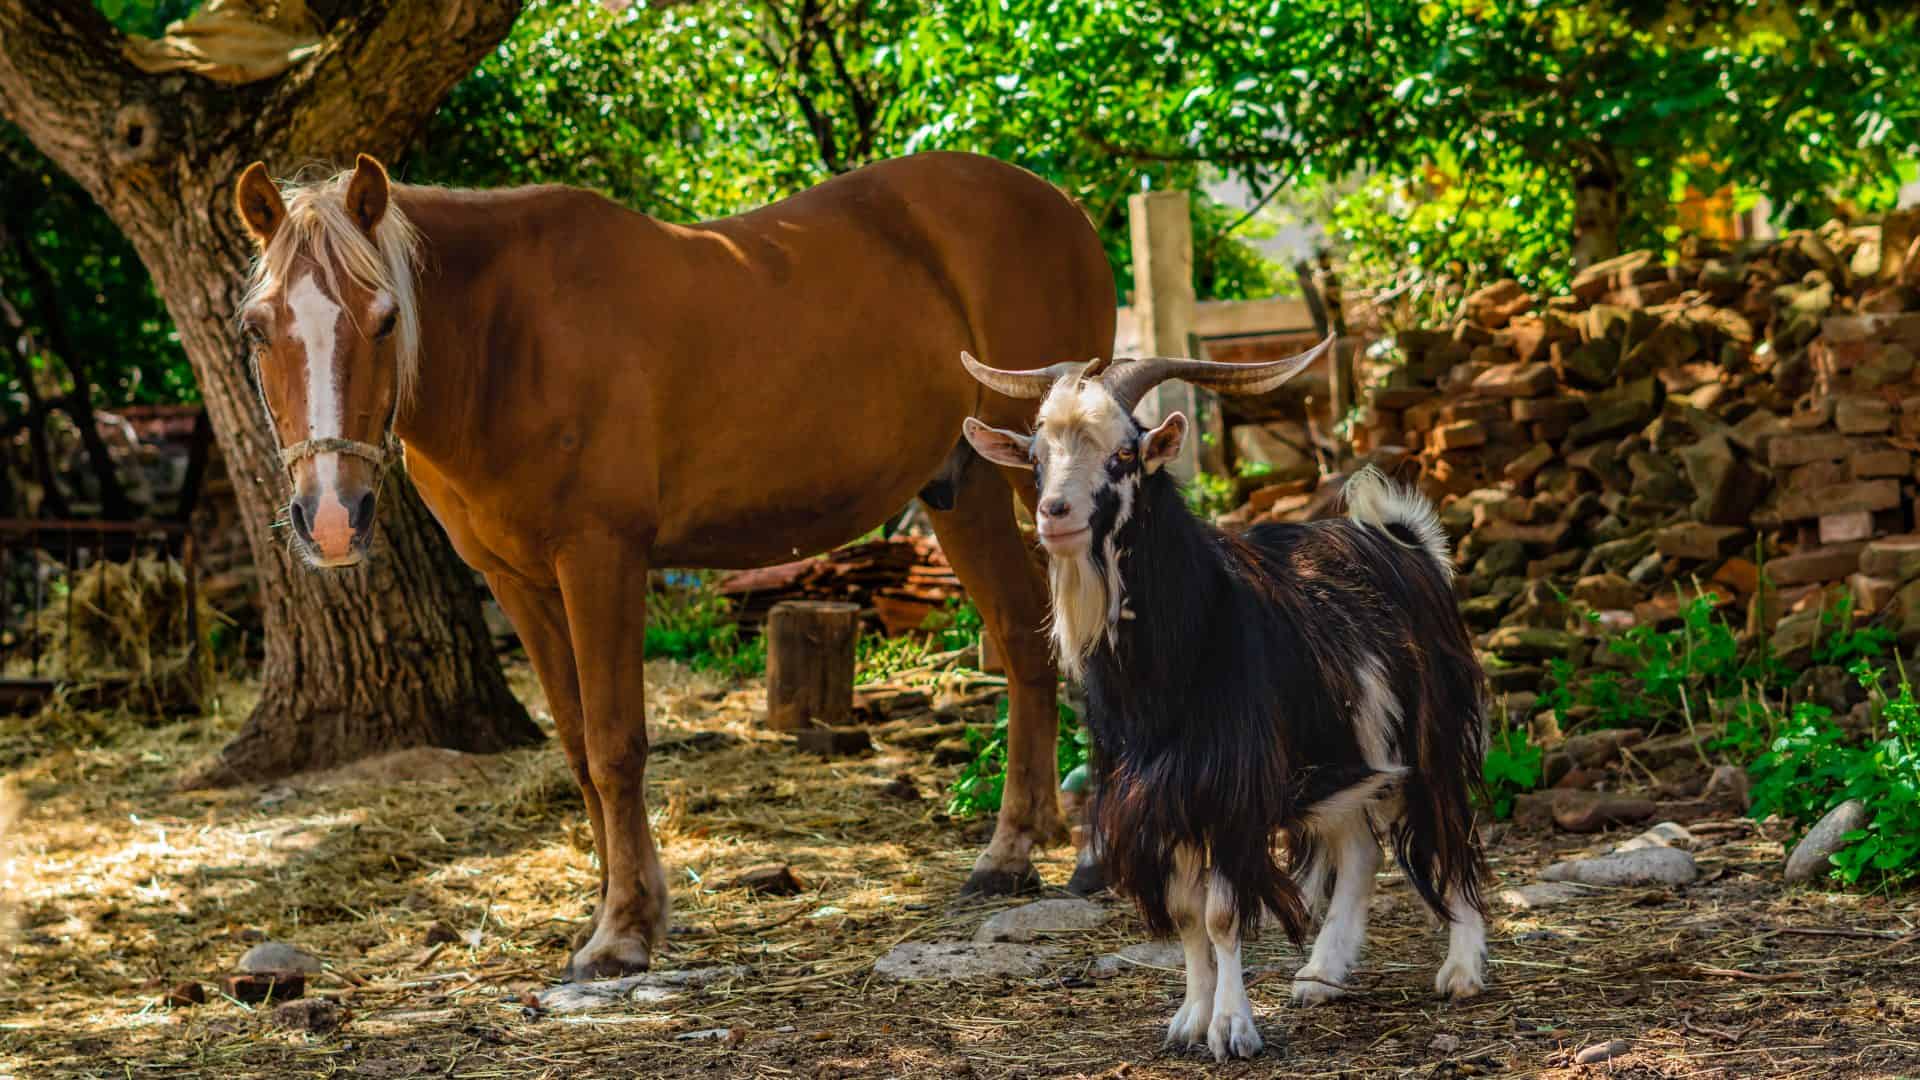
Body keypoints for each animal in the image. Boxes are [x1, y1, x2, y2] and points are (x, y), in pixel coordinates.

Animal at [233, 151, 1115, 980]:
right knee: (1025, 643)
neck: (508, 342)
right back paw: (1015, 849)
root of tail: (1058, 204)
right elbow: (578, 748)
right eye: (256, 329)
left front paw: (622, 934)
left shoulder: (601, 560)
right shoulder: (517, 583)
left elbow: (615, 743)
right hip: (963, 495)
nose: (333, 519)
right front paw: (619, 909)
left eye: (384, 320)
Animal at [960, 342, 1489, 1061]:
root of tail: (1406, 544)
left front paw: (1233, 1027)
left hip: (1433, 730)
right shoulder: (1158, 794)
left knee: (1451, 829)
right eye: (1038, 456)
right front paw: (1190, 1018)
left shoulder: (1230, 788)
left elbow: (1220, 913)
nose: (1054, 515)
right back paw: (1321, 974)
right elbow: (1187, 916)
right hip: (1342, 752)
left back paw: (1461, 969)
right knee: (1360, 850)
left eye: (1124, 454)